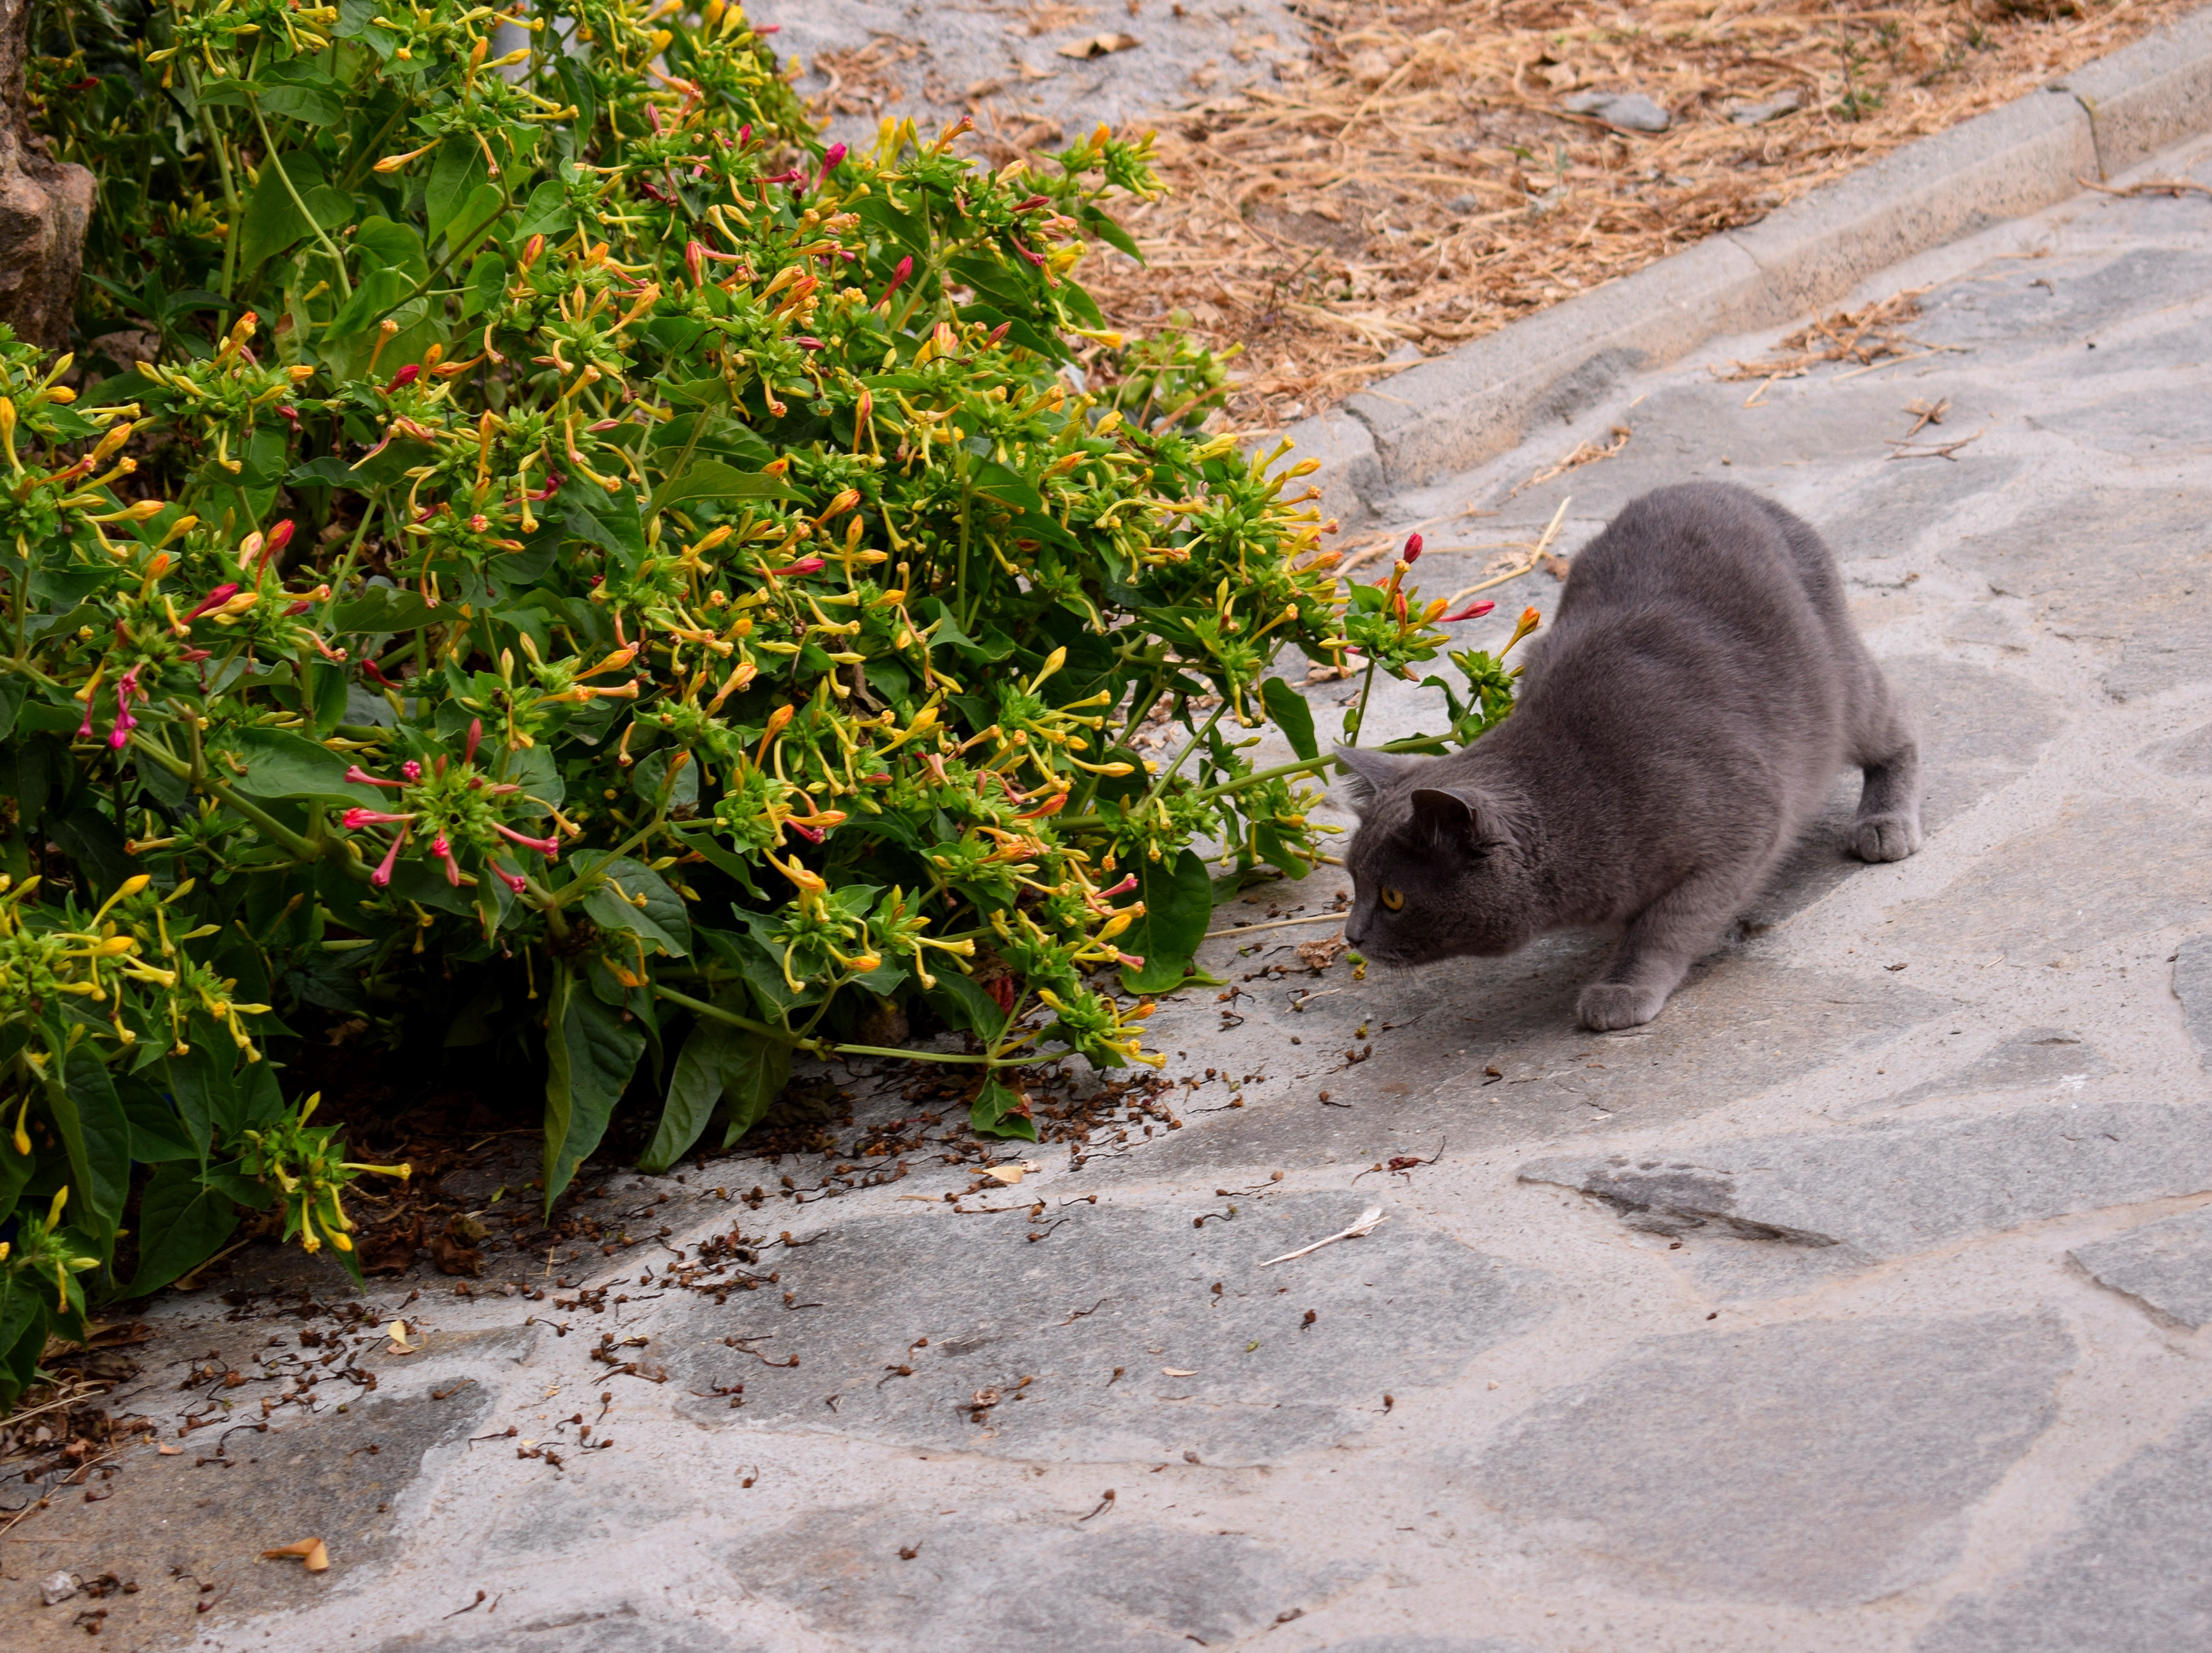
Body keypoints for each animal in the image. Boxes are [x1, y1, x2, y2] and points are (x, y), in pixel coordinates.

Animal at [1327, 475, 1920, 1035]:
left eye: (1394, 898)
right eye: (1354, 881)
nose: (1352, 936)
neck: (1580, 800)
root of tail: (1715, 487)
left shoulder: (1740, 836)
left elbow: (1664, 927)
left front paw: (1622, 988)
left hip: (1838, 687)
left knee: (1896, 731)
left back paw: (1885, 824)